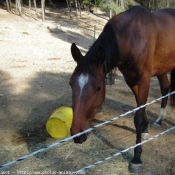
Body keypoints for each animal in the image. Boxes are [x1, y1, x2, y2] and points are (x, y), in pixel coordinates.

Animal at [69, 5, 175, 172]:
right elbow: (141, 109)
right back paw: (159, 120)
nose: (77, 135)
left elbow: (138, 117)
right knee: (165, 88)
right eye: (71, 84)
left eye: (99, 87)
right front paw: (145, 131)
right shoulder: (131, 81)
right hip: (162, 68)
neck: (132, 36)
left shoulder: (144, 80)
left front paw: (136, 159)